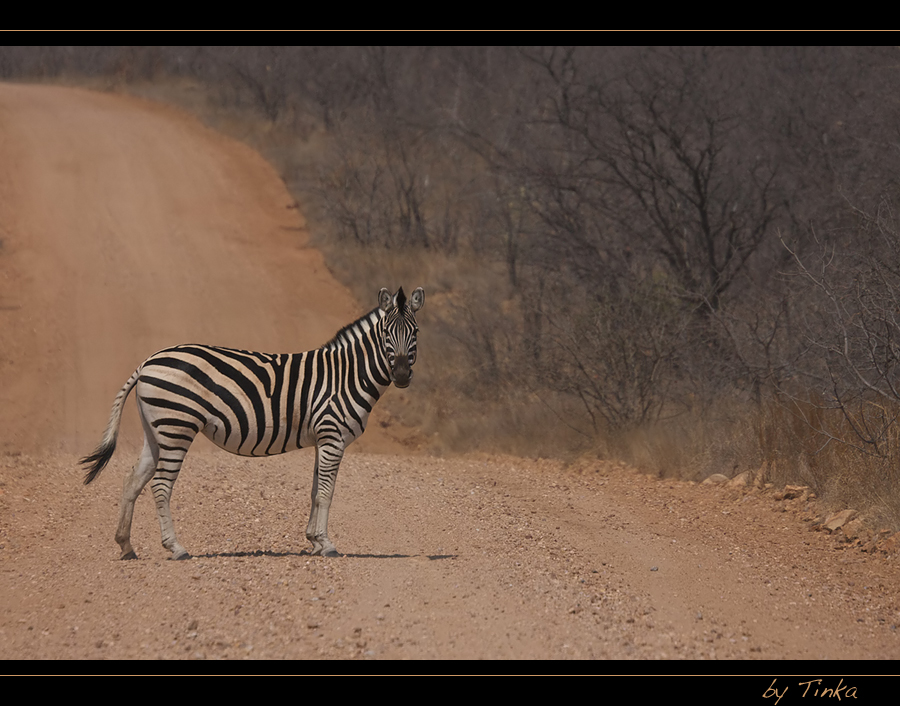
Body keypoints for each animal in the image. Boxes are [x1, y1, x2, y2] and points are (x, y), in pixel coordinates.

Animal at [81, 284, 426, 560]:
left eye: (415, 333)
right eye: (386, 334)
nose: (401, 375)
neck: (347, 375)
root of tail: (147, 362)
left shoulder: (322, 439)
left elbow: (315, 490)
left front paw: (313, 540)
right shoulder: (332, 436)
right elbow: (326, 493)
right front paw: (326, 544)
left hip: (156, 430)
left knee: (132, 481)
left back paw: (126, 546)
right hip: (177, 427)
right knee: (161, 486)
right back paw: (176, 548)